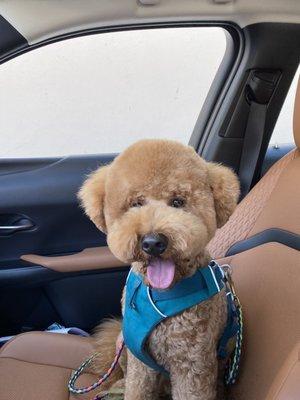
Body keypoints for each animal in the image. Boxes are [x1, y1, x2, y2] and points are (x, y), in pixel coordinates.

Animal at [78, 139, 240, 398]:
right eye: (136, 203)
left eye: (177, 202)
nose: (153, 242)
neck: (158, 295)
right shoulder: (139, 361)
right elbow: (136, 388)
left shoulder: (192, 363)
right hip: (123, 344)